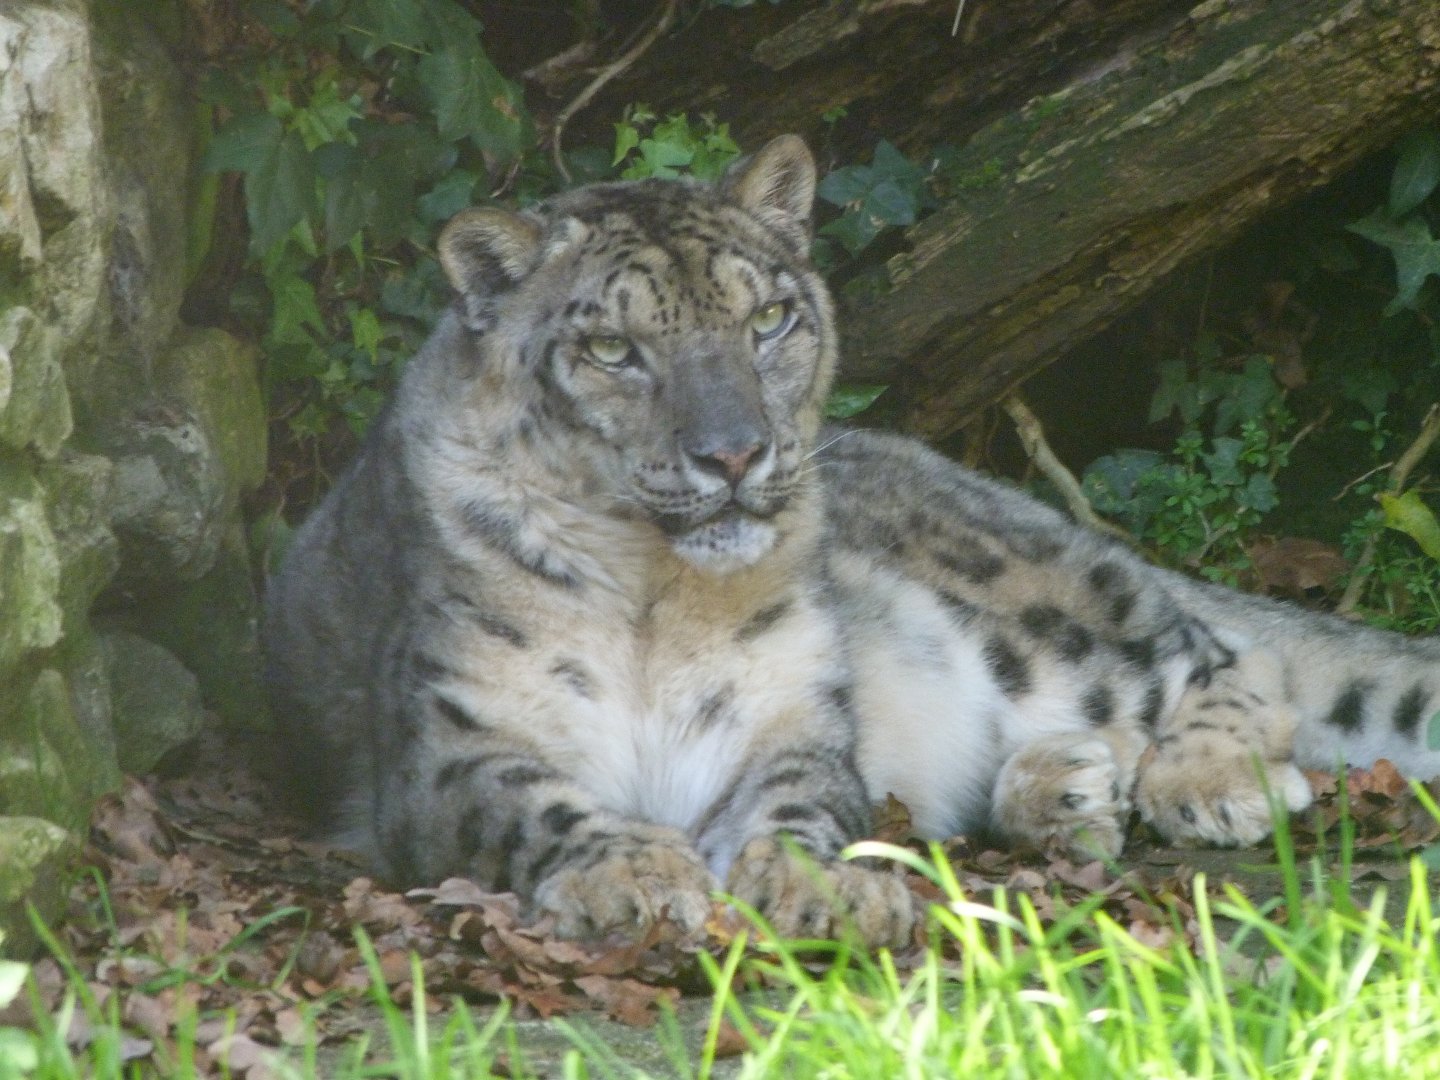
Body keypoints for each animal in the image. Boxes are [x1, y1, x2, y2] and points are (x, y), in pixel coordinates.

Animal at [263, 134, 1440, 948]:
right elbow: (533, 805)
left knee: (1219, 650)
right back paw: (1065, 791)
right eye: (609, 348)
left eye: (768, 319)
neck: (653, 596)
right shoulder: (454, 738)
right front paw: (634, 874)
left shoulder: (791, 713)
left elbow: (798, 803)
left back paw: (1202, 778)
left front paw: (814, 888)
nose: (733, 454)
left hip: (1039, 606)